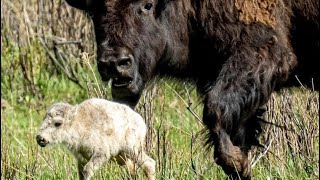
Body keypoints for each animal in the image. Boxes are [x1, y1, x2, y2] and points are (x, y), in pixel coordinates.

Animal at [65, 0, 318, 179]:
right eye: (94, 10)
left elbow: (215, 109)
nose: (115, 63)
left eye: (147, 5)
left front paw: (237, 163)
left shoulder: (264, 52)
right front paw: (240, 165)